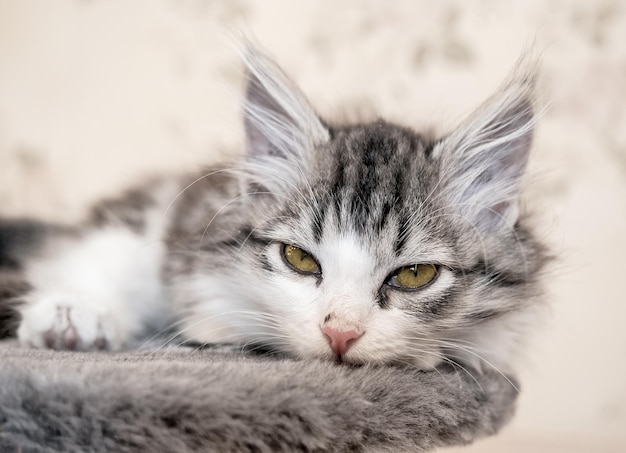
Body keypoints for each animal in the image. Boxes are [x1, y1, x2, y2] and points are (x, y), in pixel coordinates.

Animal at [3, 46, 544, 372]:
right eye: (299, 259)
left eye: (415, 275)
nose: (340, 333)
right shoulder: (172, 214)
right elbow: (109, 256)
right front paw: (73, 313)